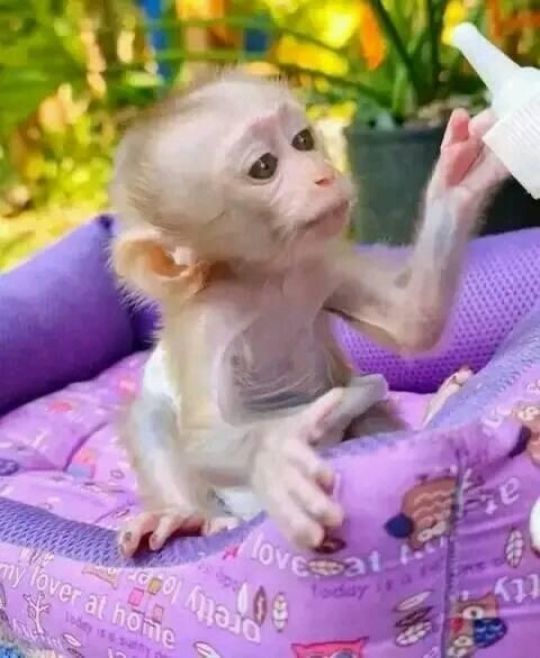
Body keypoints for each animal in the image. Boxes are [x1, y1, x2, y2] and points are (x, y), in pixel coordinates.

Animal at [109, 69, 508, 557]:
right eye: (264, 167)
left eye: (302, 140)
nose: (323, 176)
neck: (266, 280)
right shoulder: (208, 320)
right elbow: (201, 438)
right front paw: (272, 454)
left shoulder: (321, 265)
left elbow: (415, 321)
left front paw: (458, 178)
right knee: (151, 415)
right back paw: (183, 515)